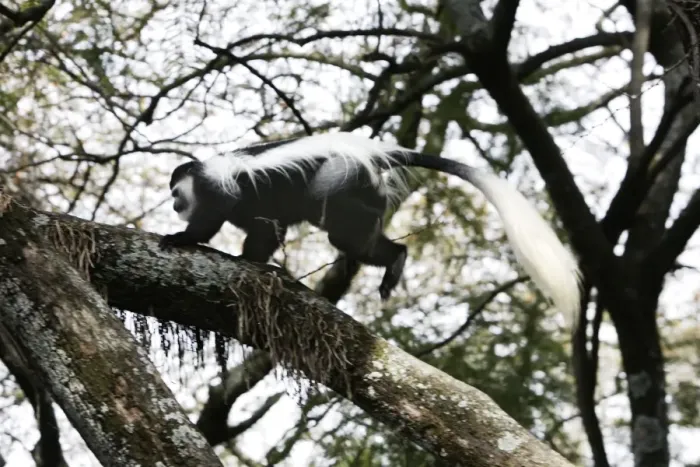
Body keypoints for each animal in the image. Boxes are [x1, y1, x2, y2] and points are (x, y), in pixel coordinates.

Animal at [159, 132, 582, 328]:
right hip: (364, 185)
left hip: (337, 175)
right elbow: (268, 230)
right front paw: (256, 262)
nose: (176, 206)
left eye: (177, 193)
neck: (203, 174)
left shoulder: (219, 187)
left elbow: (215, 219)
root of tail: (372, 151)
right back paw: (394, 259)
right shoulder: (254, 213)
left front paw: (181, 238)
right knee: (362, 231)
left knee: (335, 222)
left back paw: (390, 258)